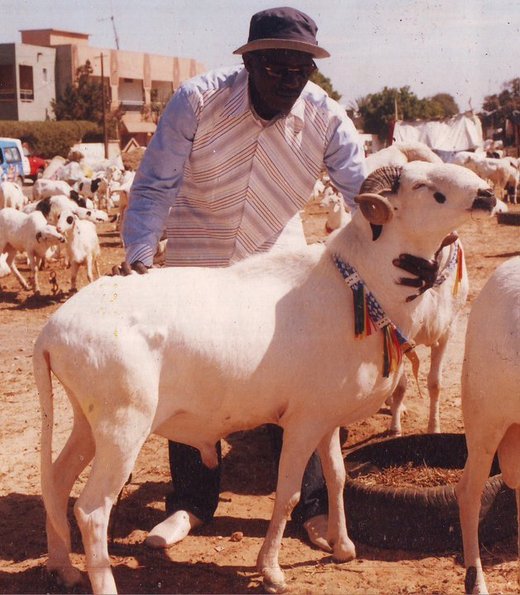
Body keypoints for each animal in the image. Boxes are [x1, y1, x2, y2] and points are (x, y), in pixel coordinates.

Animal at [33, 161, 496, 592]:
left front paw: (343, 547)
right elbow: (288, 492)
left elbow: (336, 477)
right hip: (123, 427)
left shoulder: (327, 417)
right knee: (92, 511)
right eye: (425, 188)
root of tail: (51, 331)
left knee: (55, 482)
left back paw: (63, 568)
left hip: (88, 422)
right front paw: (271, 570)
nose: (488, 195)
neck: (360, 284)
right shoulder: (302, 422)